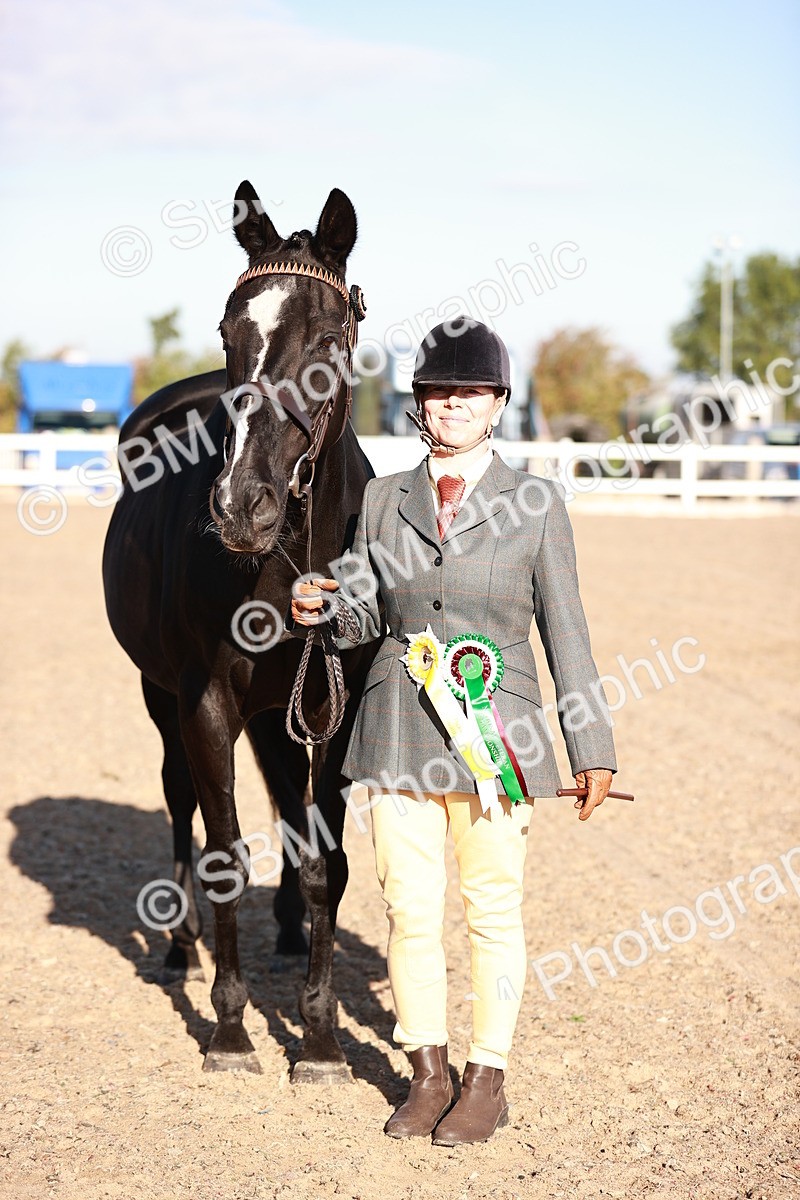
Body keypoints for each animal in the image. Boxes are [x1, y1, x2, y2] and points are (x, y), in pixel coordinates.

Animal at [102, 181, 379, 1080]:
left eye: (329, 337)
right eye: (230, 332)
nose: (239, 505)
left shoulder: (332, 709)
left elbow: (327, 862)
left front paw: (320, 1037)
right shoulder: (205, 702)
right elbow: (223, 855)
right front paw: (229, 1029)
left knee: (287, 806)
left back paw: (289, 933)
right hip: (159, 694)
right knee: (181, 801)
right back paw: (181, 947)